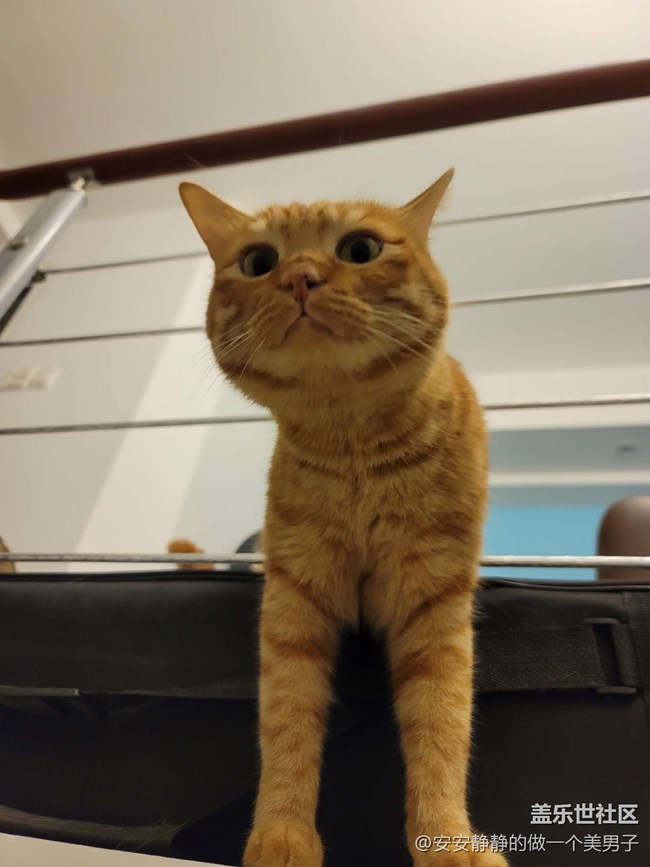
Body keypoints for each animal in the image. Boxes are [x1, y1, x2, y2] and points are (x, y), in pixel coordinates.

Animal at [179, 171, 506, 867]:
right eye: (259, 262)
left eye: (360, 250)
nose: (300, 277)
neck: (355, 448)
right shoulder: (293, 603)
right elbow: (285, 723)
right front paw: (281, 836)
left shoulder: (434, 604)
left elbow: (442, 725)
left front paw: (448, 841)